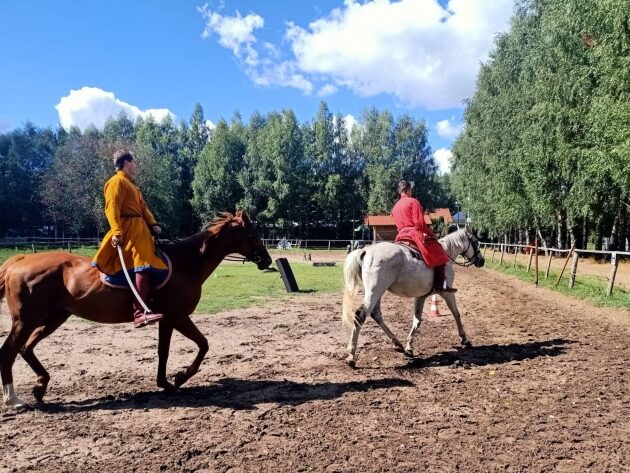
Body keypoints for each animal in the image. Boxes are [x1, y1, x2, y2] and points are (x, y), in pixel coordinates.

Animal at [0, 211, 272, 406]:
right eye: (253, 234)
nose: (268, 260)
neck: (186, 264)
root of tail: (18, 261)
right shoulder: (175, 317)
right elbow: (195, 346)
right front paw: (178, 378)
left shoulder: (172, 319)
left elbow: (177, 349)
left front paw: (169, 381)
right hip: (26, 320)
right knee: (9, 351)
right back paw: (13, 398)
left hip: (55, 316)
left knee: (26, 348)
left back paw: (40, 386)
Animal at [344, 228, 486, 366]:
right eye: (475, 242)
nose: (482, 261)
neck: (447, 254)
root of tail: (365, 250)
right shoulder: (447, 293)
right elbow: (456, 314)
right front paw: (465, 339)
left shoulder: (421, 296)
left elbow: (417, 320)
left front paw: (409, 346)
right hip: (375, 291)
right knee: (361, 315)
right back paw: (351, 355)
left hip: (376, 292)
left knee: (376, 314)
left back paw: (397, 343)